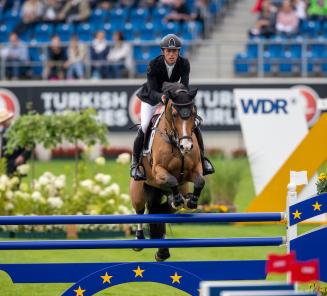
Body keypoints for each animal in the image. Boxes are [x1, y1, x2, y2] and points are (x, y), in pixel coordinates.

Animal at [130, 81, 205, 262]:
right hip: (138, 191)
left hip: (168, 192)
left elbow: (200, 180)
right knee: (140, 210)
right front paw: (178, 199)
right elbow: (171, 179)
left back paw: (162, 251)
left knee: (162, 211)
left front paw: (191, 201)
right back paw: (139, 240)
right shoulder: (158, 170)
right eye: (175, 114)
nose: (186, 146)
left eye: (193, 113)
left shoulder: (194, 169)